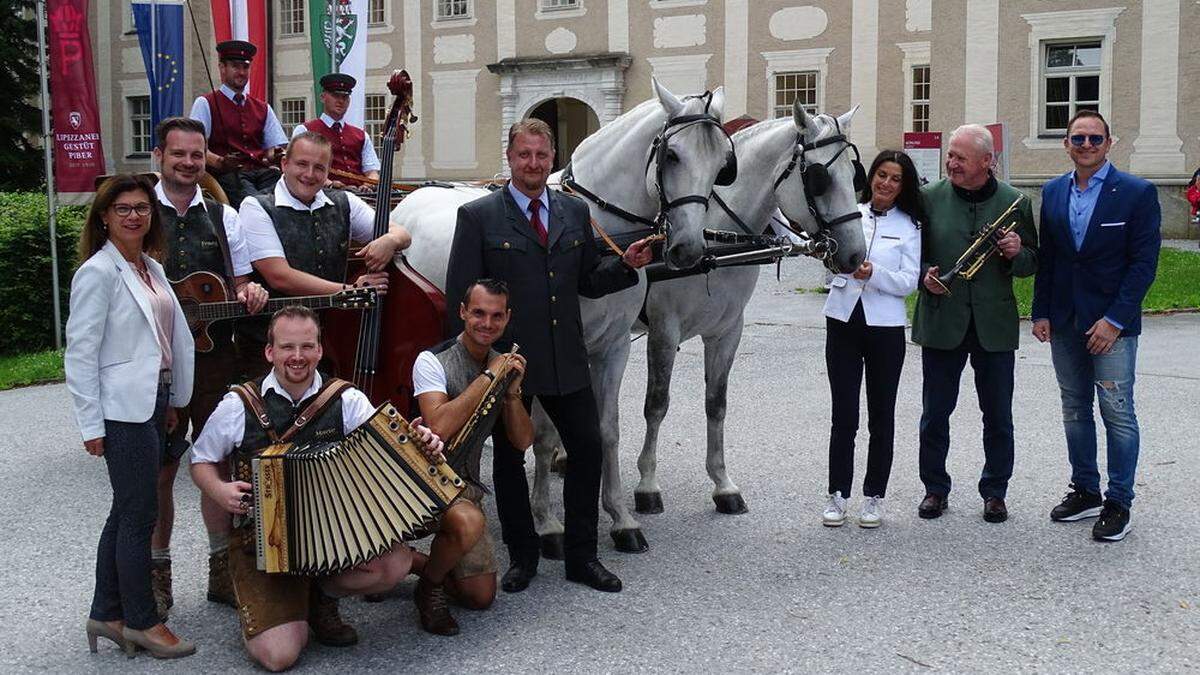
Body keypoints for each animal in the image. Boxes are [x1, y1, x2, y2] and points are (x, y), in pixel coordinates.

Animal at [393, 78, 729, 552]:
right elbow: (544, 433)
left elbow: (607, 429)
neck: (598, 228)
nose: (688, 249)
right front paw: (547, 522)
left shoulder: (612, 346)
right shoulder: (553, 356)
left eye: (721, 163)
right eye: (673, 156)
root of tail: (411, 197)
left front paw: (619, 516)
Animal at [530, 100, 868, 547]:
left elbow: (716, 404)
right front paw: (647, 486)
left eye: (854, 173)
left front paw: (722, 485)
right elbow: (656, 405)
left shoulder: (727, 331)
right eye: (819, 179)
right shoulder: (663, 330)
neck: (714, 240)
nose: (855, 255)